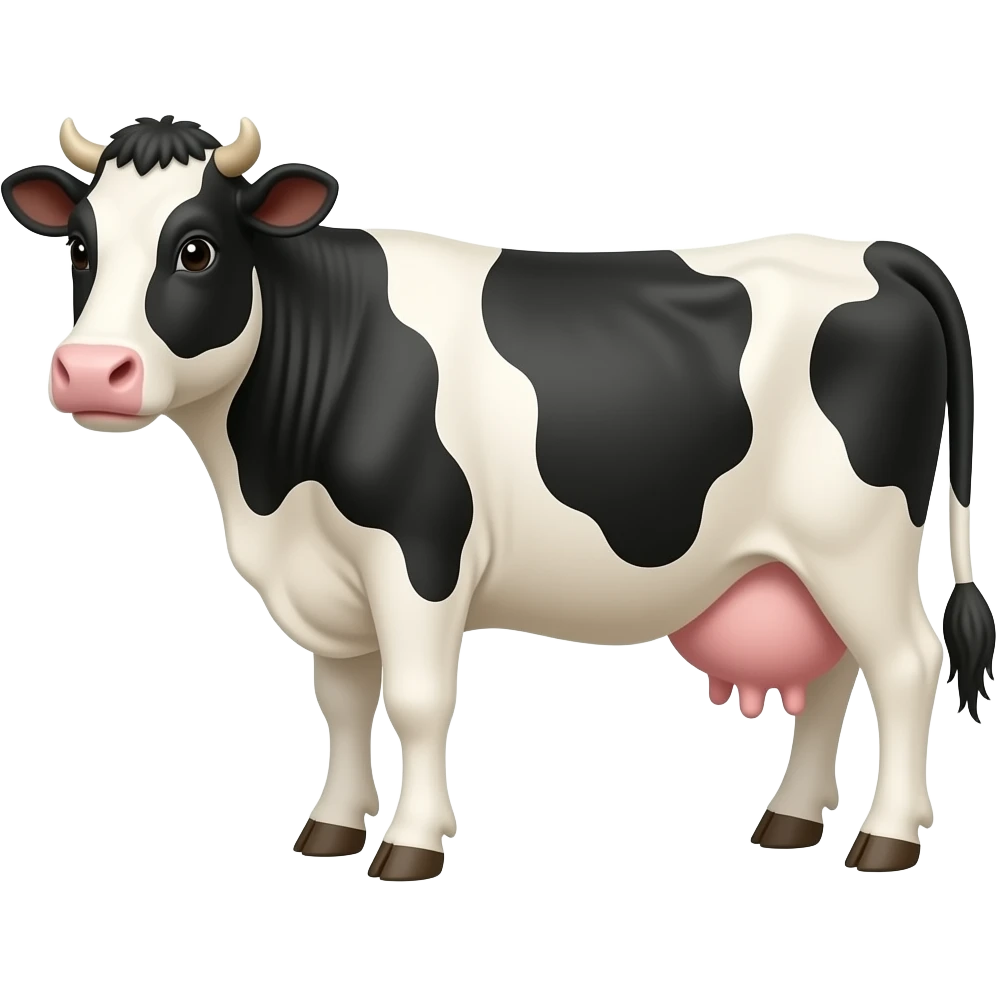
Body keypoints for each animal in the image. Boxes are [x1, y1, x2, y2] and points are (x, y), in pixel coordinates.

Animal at [4, 114, 992, 881]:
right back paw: (788, 820)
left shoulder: (418, 548)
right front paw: (330, 828)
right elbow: (341, 701)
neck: (269, 487)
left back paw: (885, 838)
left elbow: (413, 698)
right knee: (833, 672)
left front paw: (409, 845)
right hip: (801, 557)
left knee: (905, 664)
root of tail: (877, 250)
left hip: (855, 538)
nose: (90, 370)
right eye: (82, 246)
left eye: (197, 248)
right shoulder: (331, 575)